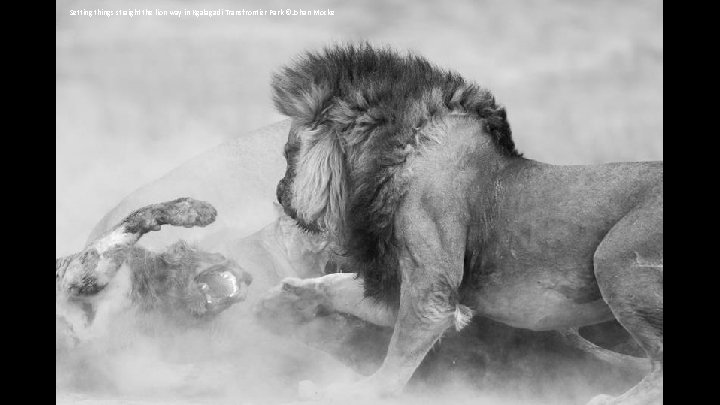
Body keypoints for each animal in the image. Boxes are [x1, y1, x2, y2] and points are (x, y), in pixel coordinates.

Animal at [272, 44, 664, 404]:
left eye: (288, 153)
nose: (277, 191)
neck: (394, 155)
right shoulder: (400, 284)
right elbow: (339, 286)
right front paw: (287, 295)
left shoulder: (432, 290)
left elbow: (395, 362)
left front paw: (348, 391)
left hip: (615, 258)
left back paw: (609, 399)